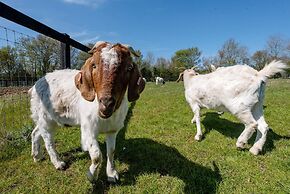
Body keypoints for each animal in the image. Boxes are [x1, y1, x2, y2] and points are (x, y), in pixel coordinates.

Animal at [29, 41, 145, 183]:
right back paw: (58, 163)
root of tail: (35, 85)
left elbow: (111, 151)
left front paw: (112, 174)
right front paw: (91, 176)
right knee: (48, 139)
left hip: (45, 117)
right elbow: (96, 155)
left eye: (129, 68)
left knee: (36, 132)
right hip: (46, 118)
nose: (106, 103)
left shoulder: (113, 130)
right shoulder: (88, 128)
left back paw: (37, 156)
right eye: (94, 65)